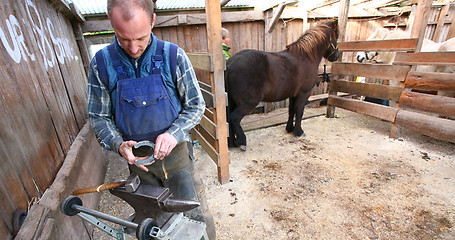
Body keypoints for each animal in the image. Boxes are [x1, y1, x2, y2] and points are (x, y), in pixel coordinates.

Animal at [226, 19, 340, 150]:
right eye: (337, 36)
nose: (337, 56)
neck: (306, 57)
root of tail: (229, 64)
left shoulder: (292, 94)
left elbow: (291, 110)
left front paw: (289, 129)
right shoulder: (304, 93)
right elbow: (299, 111)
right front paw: (299, 132)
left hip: (232, 101)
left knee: (228, 119)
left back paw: (232, 143)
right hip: (248, 102)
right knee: (234, 118)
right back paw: (242, 142)